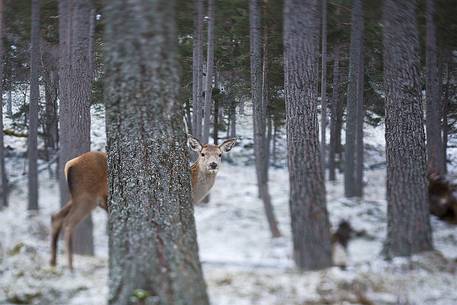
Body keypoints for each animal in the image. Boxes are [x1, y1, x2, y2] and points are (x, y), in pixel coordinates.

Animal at [50, 134, 237, 270]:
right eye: (203, 154)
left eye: (220, 154)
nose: (213, 164)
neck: (195, 193)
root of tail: (69, 164)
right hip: (86, 195)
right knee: (68, 222)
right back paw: (70, 267)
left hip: (77, 197)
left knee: (56, 217)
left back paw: (53, 263)